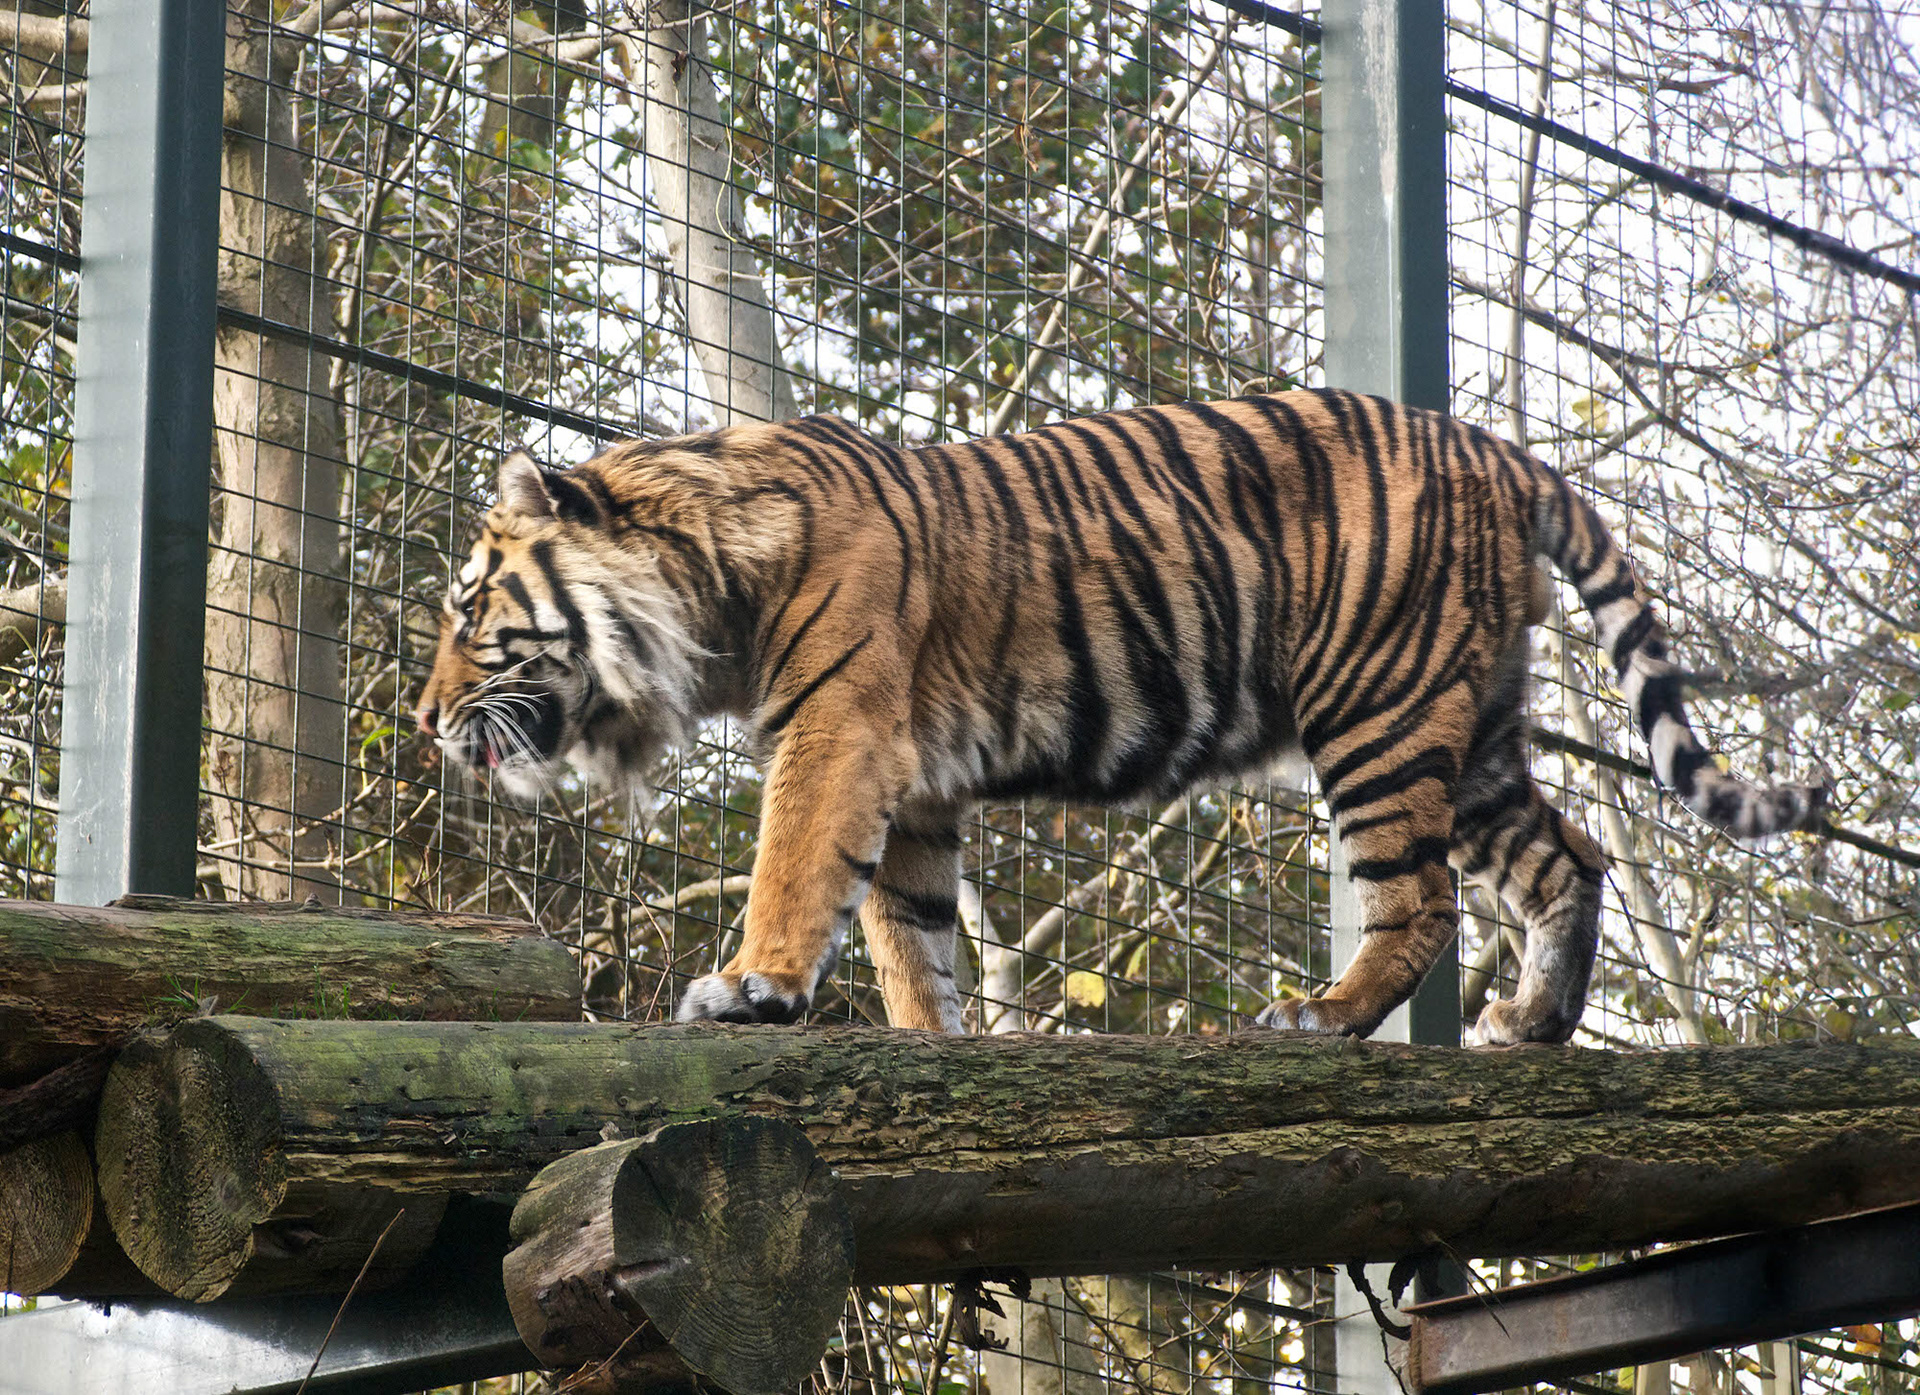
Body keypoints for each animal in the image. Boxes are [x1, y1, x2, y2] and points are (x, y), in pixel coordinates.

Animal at [416, 389, 1825, 1044]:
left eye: (469, 612)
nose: (426, 721)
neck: (711, 585)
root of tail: (1499, 449)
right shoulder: (915, 783)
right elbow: (907, 932)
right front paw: (933, 1042)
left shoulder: (837, 732)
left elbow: (796, 868)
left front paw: (749, 988)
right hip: (1468, 726)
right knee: (1566, 856)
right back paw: (1530, 1025)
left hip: (1375, 707)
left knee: (1421, 899)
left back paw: (1319, 1017)